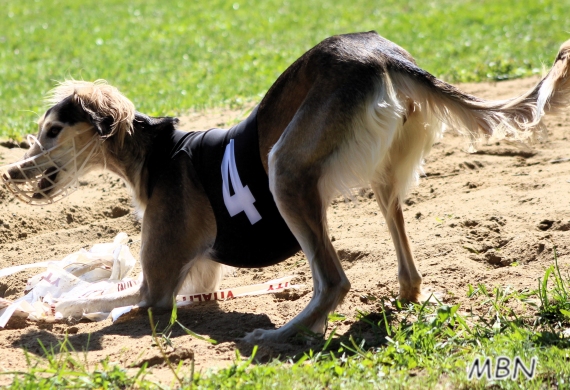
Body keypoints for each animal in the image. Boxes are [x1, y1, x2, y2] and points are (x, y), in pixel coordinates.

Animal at [1, 32, 568, 342]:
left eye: (52, 130)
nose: (12, 173)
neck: (156, 155)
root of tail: (384, 53)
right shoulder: (197, 278)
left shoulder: (154, 291)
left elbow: (91, 302)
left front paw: (36, 310)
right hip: (383, 179)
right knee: (407, 276)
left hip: (285, 171)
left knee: (334, 281)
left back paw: (279, 336)